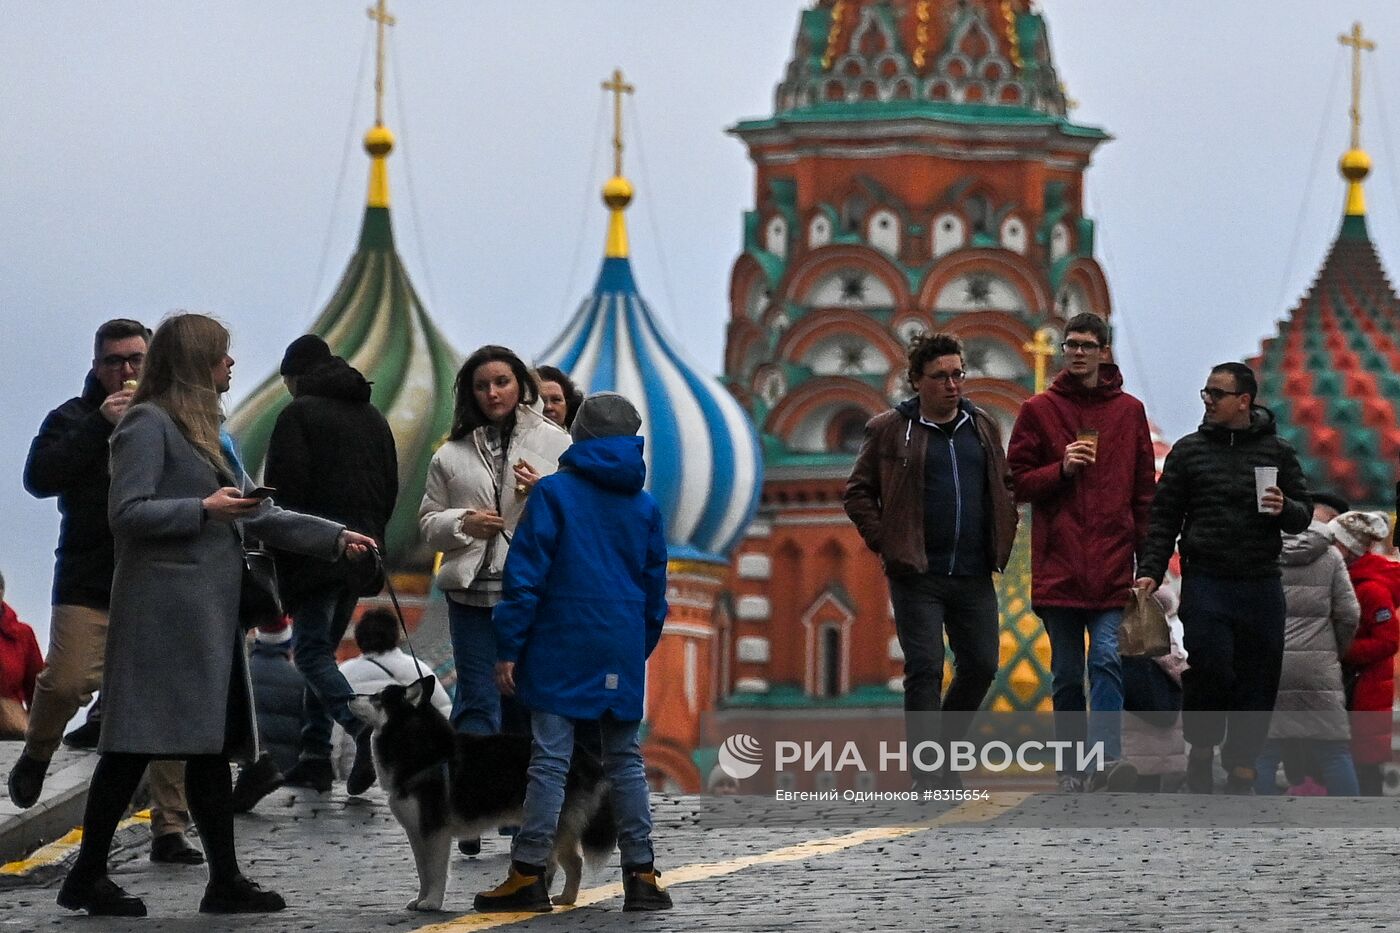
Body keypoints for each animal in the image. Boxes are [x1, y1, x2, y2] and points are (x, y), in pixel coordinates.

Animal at [348, 672, 613, 902]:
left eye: (377, 697)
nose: (350, 696)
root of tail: (586, 757)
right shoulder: (417, 832)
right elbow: (423, 873)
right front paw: (420, 900)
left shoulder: (435, 831)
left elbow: (434, 872)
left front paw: (431, 902)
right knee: (565, 863)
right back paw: (556, 896)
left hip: (556, 822)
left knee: (570, 862)